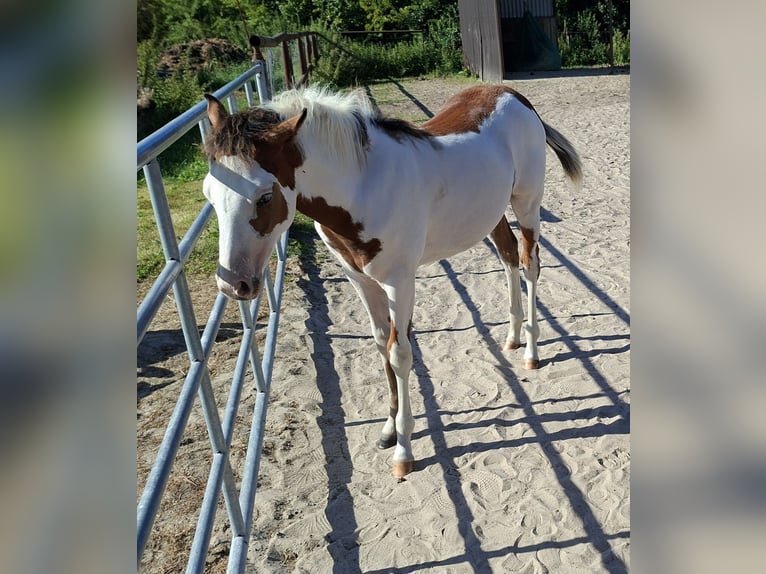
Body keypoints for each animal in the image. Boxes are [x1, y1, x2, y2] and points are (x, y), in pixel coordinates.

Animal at [201, 84, 582, 478]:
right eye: (208, 193)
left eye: (264, 196)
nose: (233, 285)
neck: (363, 187)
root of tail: (512, 94)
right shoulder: (360, 278)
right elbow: (381, 344)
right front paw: (388, 430)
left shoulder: (400, 281)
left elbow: (399, 354)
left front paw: (404, 451)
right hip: (491, 213)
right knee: (507, 256)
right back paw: (512, 337)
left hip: (527, 204)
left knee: (529, 264)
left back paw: (532, 352)